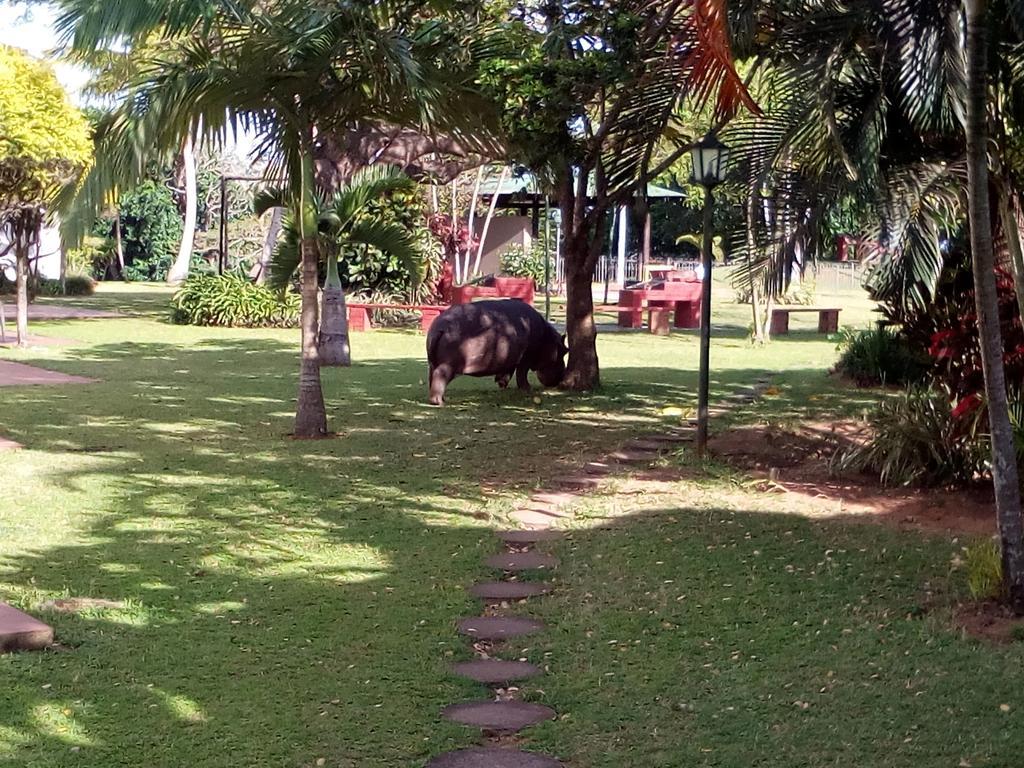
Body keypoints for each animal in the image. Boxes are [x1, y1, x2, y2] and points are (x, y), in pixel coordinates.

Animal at [423, 301, 569, 409]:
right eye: (564, 351)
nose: (561, 377)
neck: (547, 339)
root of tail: (439, 328)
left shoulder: (511, 357)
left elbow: (508, 372)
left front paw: (501, 384)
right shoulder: (525, 358)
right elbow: (521, 374)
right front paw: (528, 389)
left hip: (432, 363)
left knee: (432, 377)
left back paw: (440, 398)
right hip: (449, 365)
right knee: (439, 376)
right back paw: (439, 402)